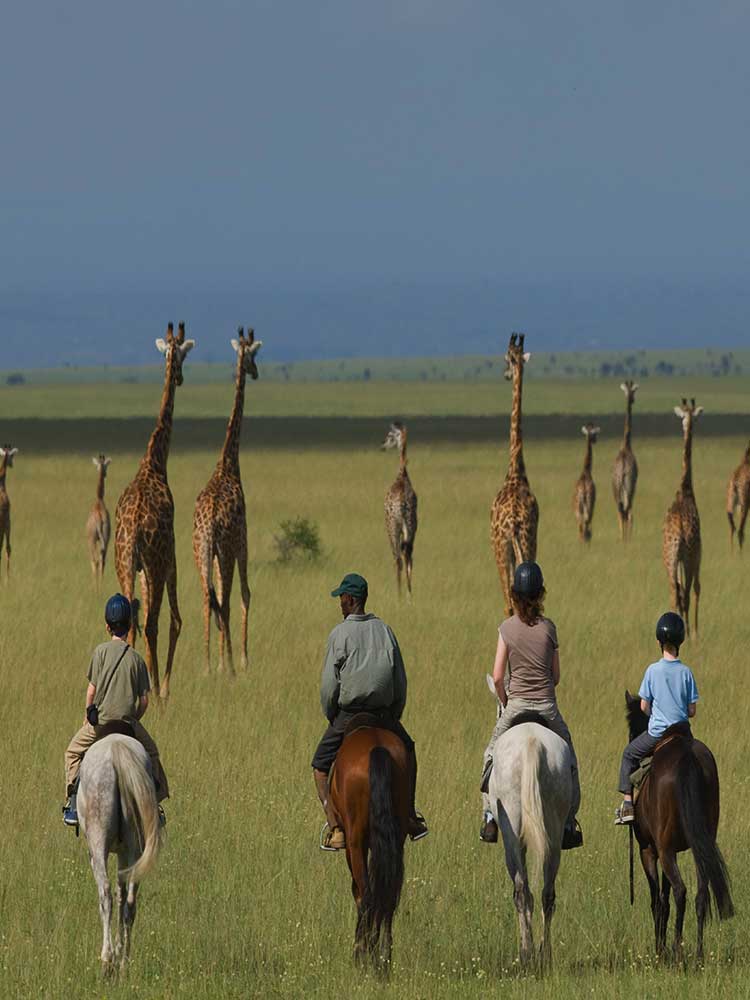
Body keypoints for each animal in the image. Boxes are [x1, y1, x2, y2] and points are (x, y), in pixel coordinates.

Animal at [77, 734, 163, 975]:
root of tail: (116, 748)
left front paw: (112, 954)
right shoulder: (124, 853)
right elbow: (122, 894)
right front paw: (119, 950)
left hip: (98, 845)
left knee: (105, 894)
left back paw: (107, 961)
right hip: (135, 848)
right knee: (130, 903)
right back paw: (124, 962)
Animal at [328, 725, 409, 974]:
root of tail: (377, 748)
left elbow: (357, 891)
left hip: (355, 841)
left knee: (366, 895)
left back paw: (363, 957)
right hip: (396, 838)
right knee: (388, 896)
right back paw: (383, 960)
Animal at [485, 675, 571, 970]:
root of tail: (532, 742)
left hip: (511, 827)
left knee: (522, 891)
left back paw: (526, 954)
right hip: (555, 831)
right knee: (548, 892)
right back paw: (545, 954)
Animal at [624, 691, 733, 962]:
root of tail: (688, 757)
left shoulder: (648, 850)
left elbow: (657, 899)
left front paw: (659, 949)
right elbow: (664, 897)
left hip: (664, 850)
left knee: (681, 891)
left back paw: (676, 951)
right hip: (698, 846)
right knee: (701, 893)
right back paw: (698, 954)